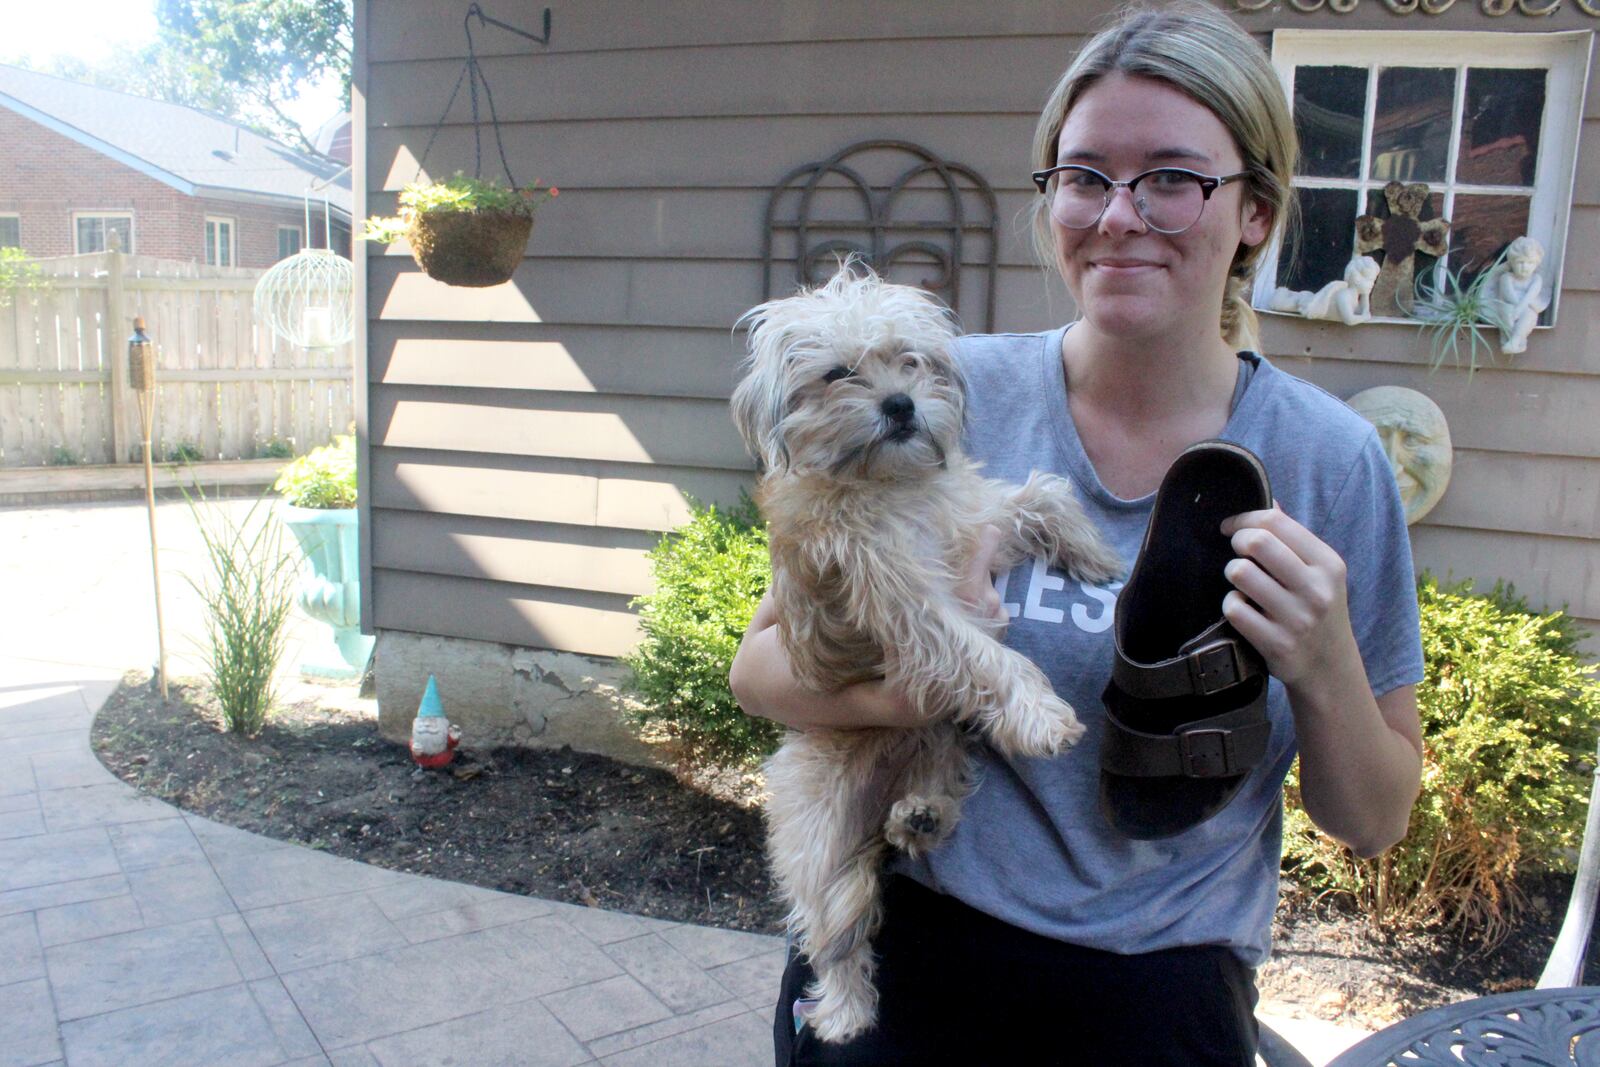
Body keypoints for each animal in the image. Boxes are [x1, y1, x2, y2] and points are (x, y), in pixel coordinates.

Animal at [732, 267, 1120, 1043]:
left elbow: (1046, 492)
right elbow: (991, 658)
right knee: (833, 928)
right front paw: (1040, 714)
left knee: (931, 797)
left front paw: (1094, 552)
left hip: (937, 741)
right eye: (839, 373)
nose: (900, 404)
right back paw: (844, 1009)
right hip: (817, 827)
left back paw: (921, 816)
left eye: (909, 360)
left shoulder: (973, 524)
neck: (892, 485)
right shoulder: (912, 603)